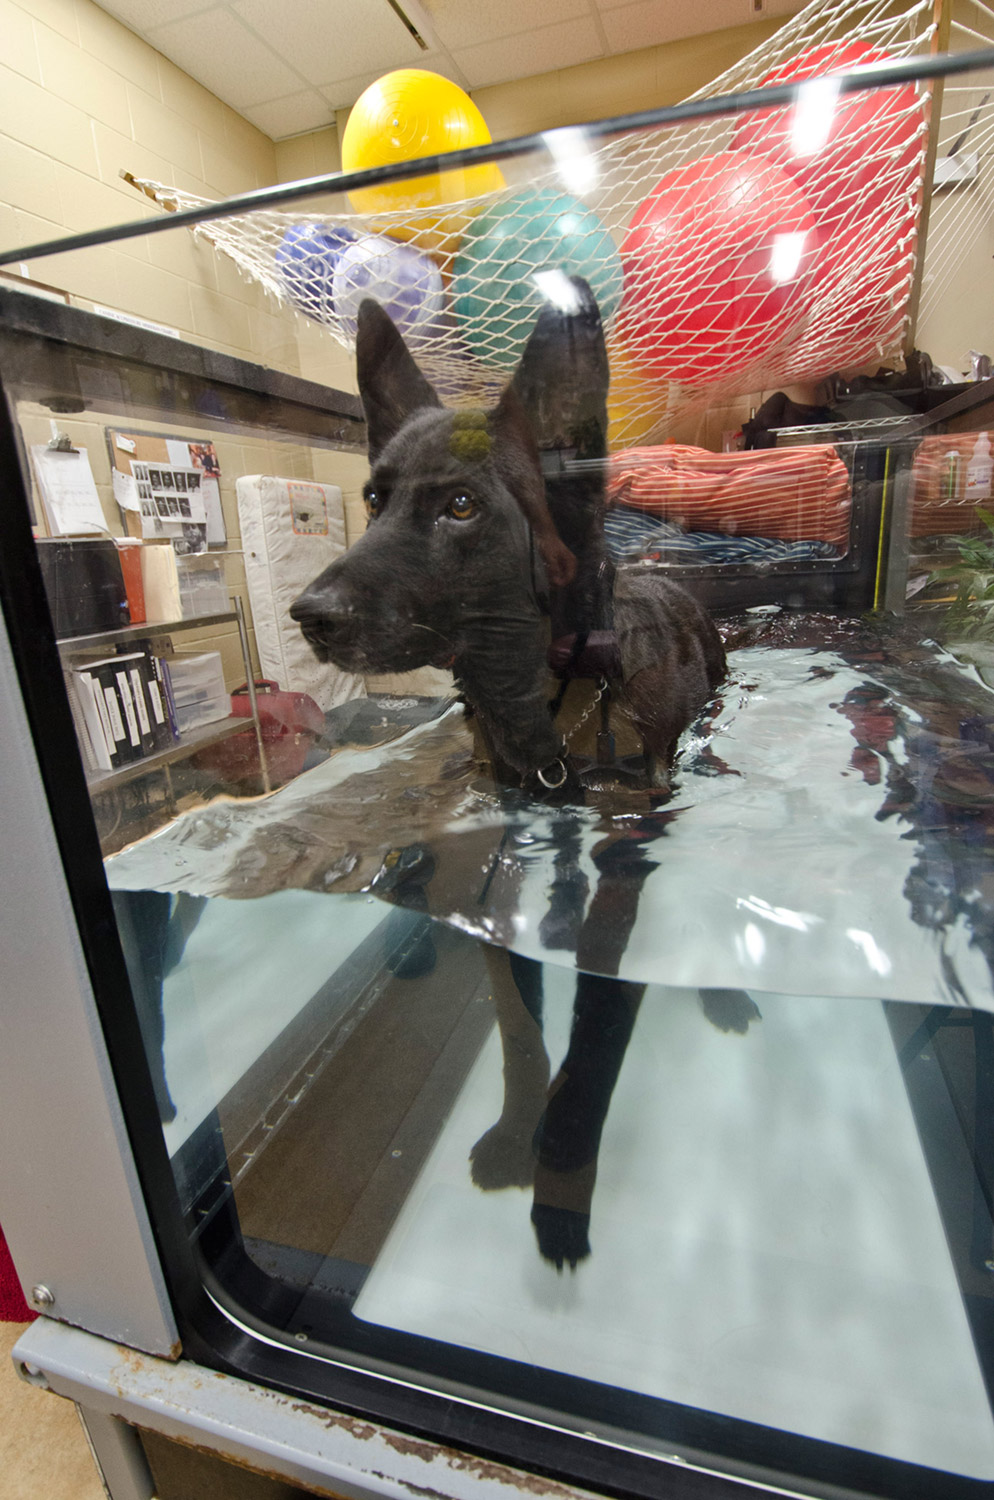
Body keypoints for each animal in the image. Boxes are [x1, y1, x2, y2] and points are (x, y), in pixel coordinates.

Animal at [292, 283, 734, 1266]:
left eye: (461, 506)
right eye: (373, 499)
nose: (309, 615)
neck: (537, 704)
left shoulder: (625, 859)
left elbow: (597, 1027)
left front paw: (562, 1171)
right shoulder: (496, 870)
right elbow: (517, 1024)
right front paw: (517, 1128)